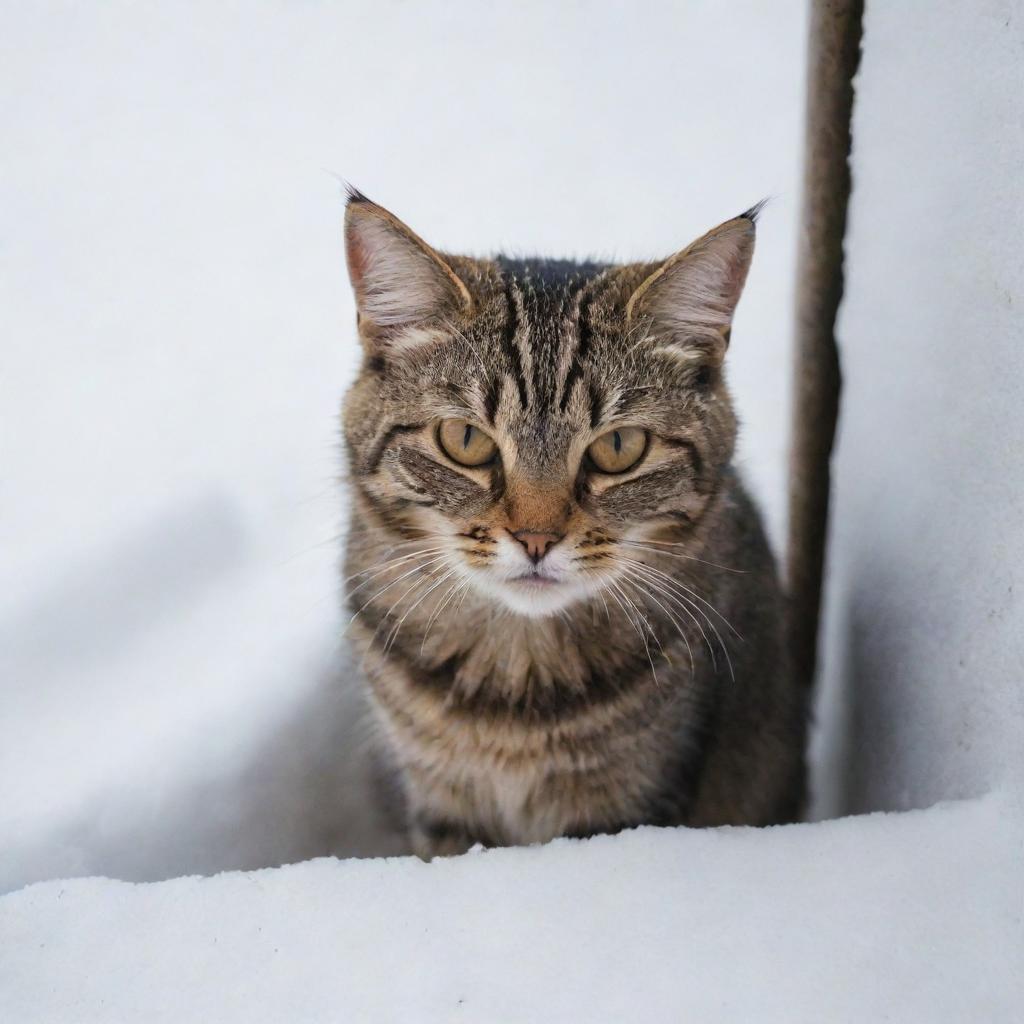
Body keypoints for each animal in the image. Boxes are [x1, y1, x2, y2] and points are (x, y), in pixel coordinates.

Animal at [339, 186, 802, 856]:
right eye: (464, 440)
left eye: (620, 448)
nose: (536, 539)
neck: (514, 679)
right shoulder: (441, 809)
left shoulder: (630, 807)